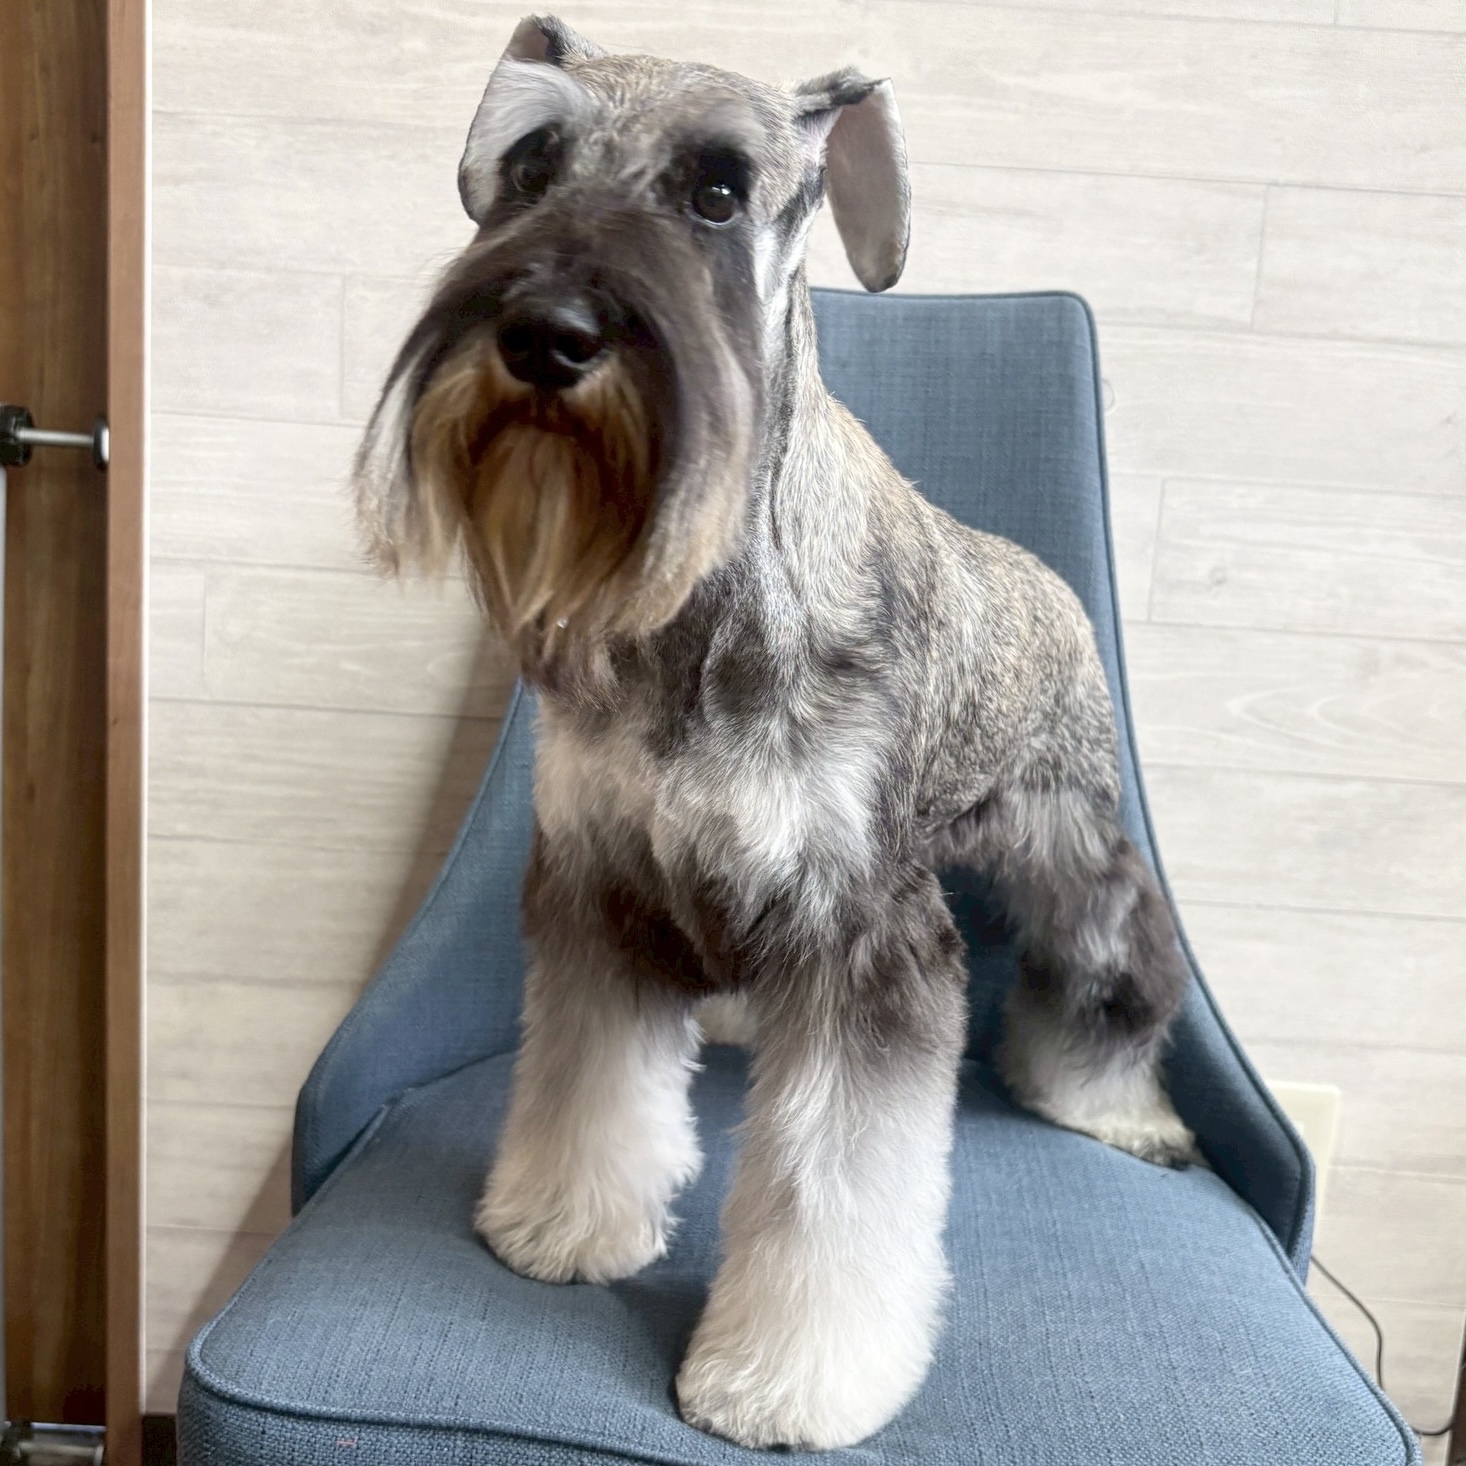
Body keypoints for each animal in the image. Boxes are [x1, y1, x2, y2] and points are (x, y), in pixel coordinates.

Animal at [354, 15, 1197, 1450]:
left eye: (716, 189)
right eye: (525, 166)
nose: (544, 334)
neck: (694, 616)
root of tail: (1047, 583)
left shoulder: (867, 941)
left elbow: (834, 1187)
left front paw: (784, 1380)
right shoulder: (600, 884)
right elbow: (590, 1078)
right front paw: (562, 1222)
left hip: (1070, 849)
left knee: (1112, 971)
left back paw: (1106, 1103)